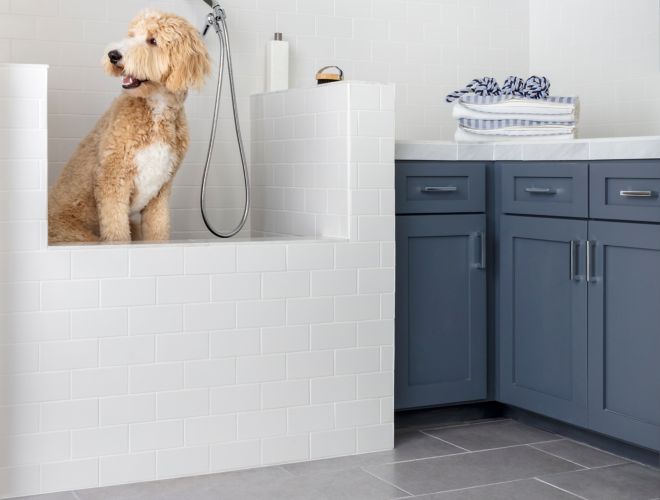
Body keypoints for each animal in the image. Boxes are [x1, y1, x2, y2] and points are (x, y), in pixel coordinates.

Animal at [49, 7, 209, 242]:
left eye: (153, 40)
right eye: (132, 35)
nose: (113, 55)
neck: (156, 110)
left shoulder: (161, 189)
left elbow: (159, 229)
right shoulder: (112, 180)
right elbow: (117, 231)